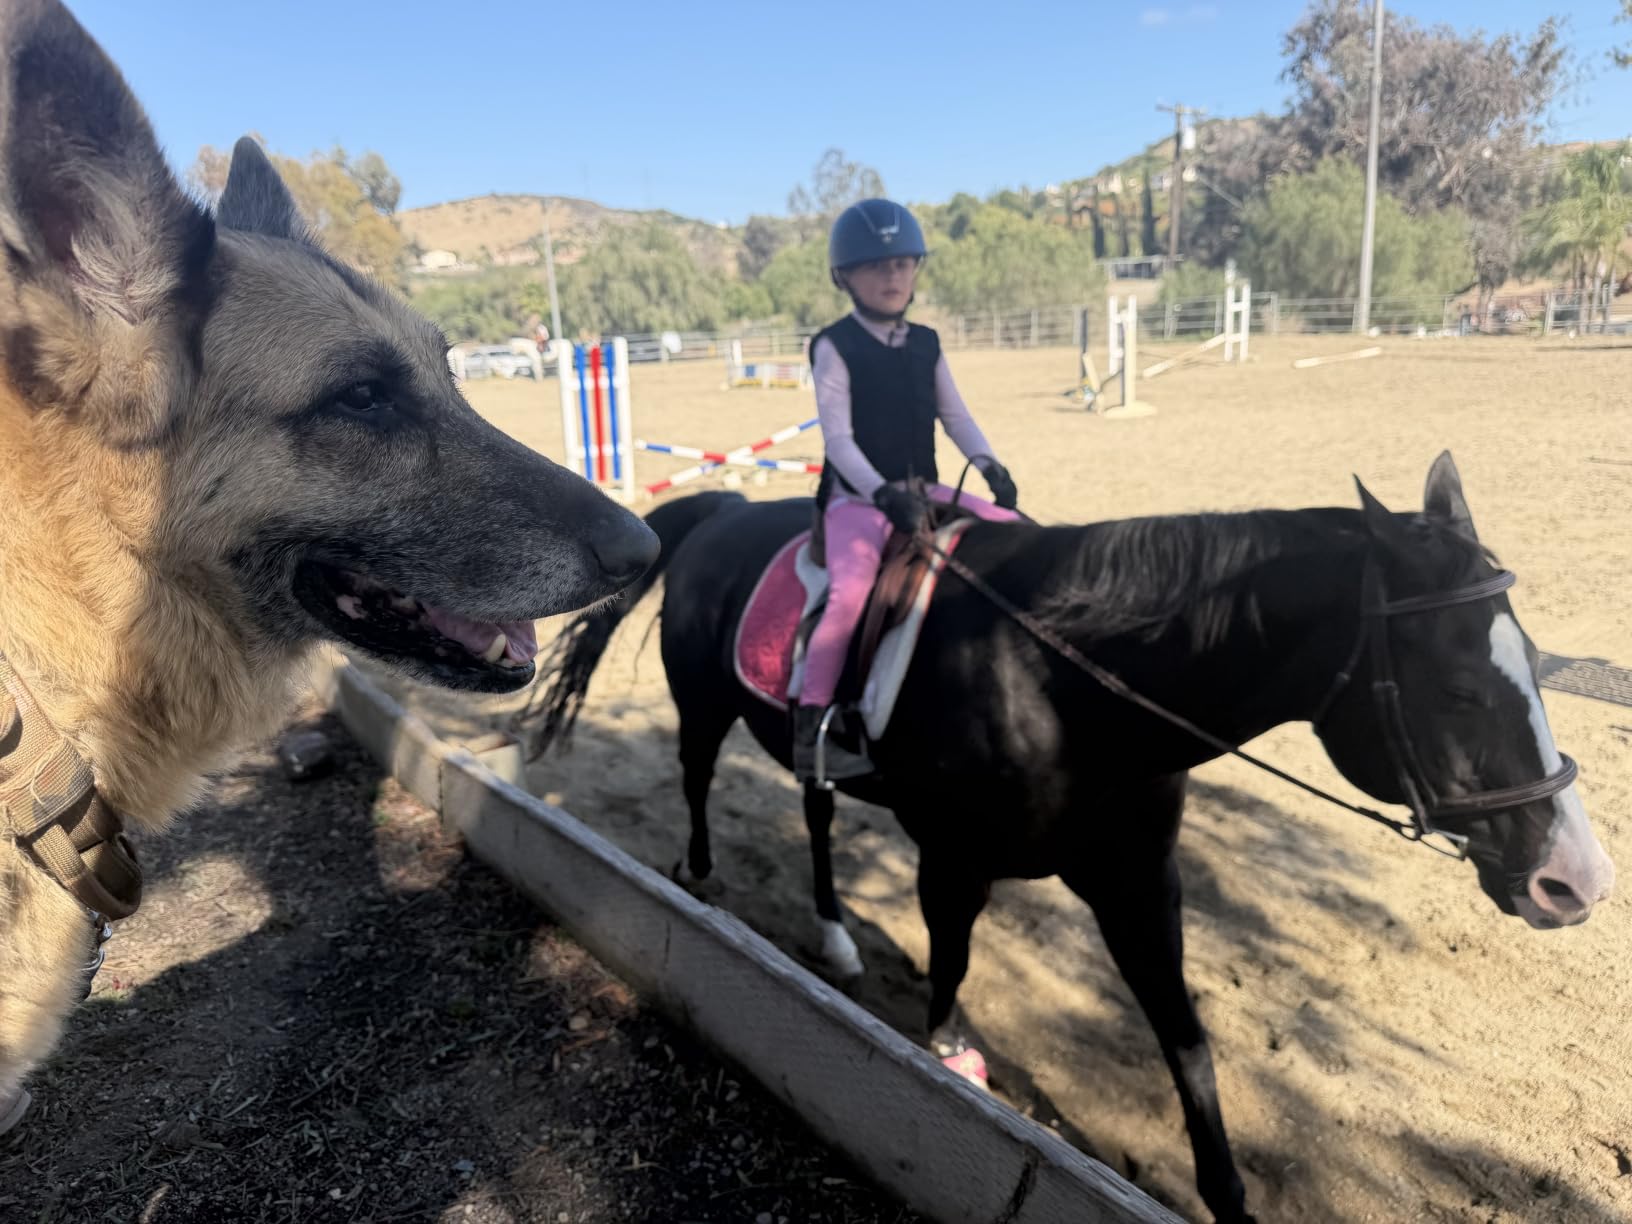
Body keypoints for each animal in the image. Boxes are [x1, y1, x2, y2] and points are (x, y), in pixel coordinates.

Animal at [518, 452, 1613, 1223]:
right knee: (698, 783)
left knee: (817, 812)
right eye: (1460, 689)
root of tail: (728, 511)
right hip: (704, 708)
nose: (1576, 880)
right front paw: (949, 1060)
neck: (1067, 682)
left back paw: (832, 934)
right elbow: (951, 975)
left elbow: (1188, 1045)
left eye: (1538, 666)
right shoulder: (953, 861)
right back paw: (698, 885)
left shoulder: (1139, 882)